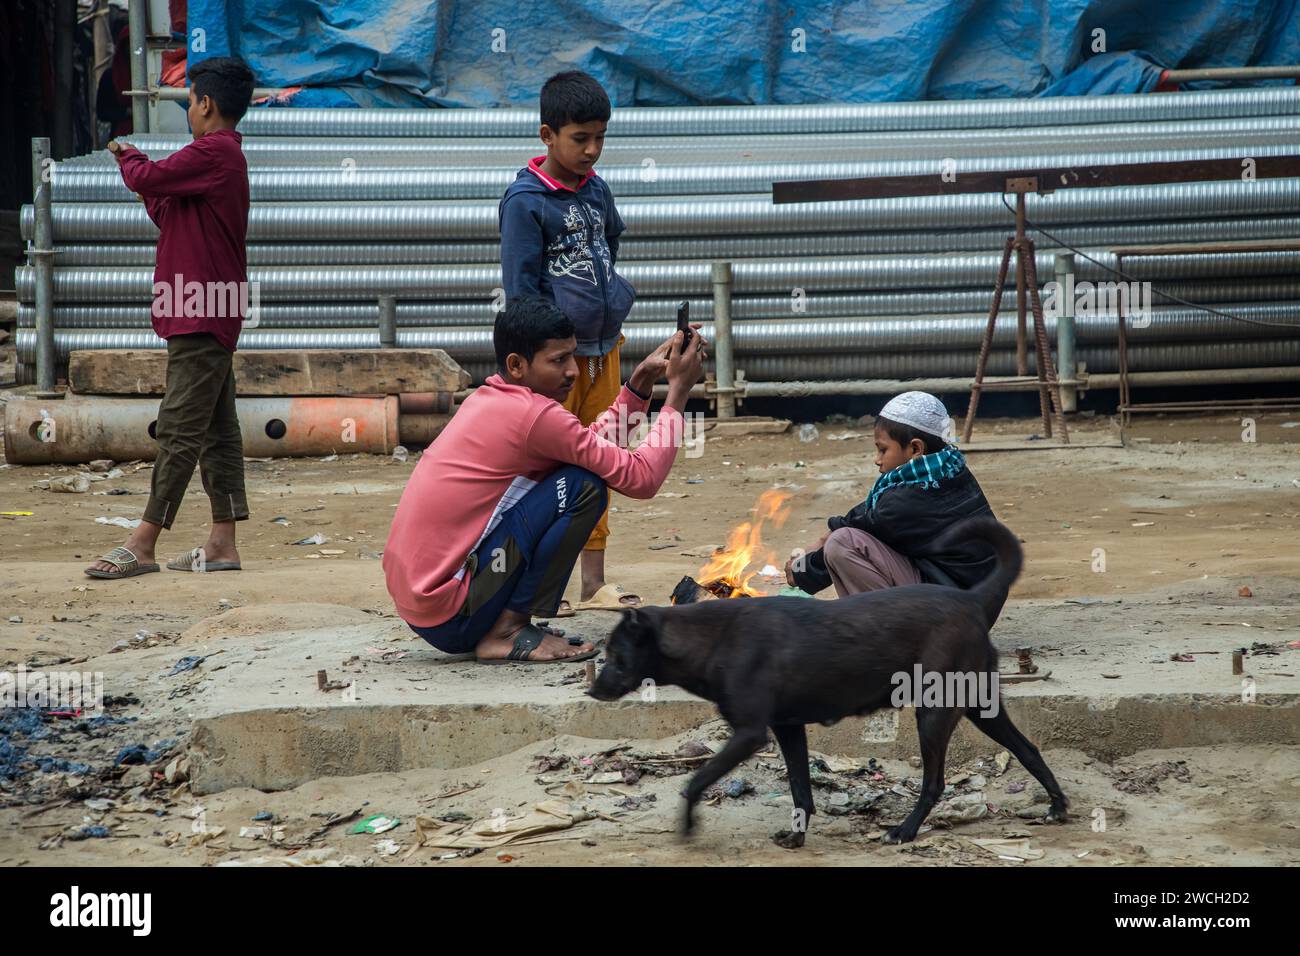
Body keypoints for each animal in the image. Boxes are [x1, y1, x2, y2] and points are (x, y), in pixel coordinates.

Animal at [590, 515, 1066, 842]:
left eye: (615, 656)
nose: (592, 690)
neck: (710, 638)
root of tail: (971, 599)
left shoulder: (749, 734)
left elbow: (695, 782)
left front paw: (688, 826)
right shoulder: (788, 728)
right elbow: (801, 789)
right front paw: (796, 837)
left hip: (933, 713)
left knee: (935, 783)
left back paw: (904, 831)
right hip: (979, 705)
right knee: (1028, 749)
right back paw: (1058, 805)